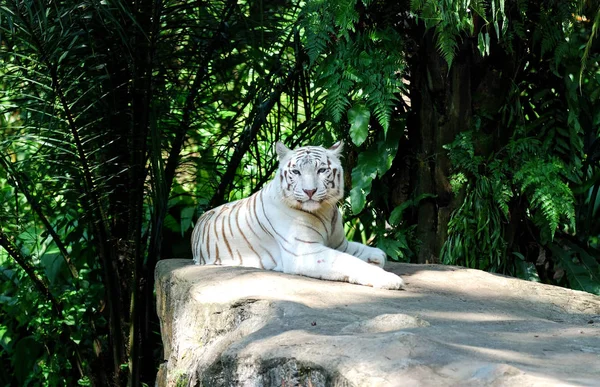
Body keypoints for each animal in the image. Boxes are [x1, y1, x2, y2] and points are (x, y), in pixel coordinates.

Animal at [191, 141, 408, 290]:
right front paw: (387, 278)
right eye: (296, 172)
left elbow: (367, 252)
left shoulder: (340, 244)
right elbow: (348, 261)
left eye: (322, 170)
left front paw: (375, 257)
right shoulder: (305, 251)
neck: (325, 211)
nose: (309, 191)